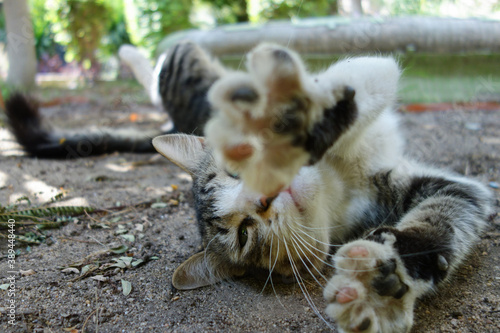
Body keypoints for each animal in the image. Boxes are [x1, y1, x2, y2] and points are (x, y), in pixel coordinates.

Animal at [152, 41, 492, 332]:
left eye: (235, 172)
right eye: (244, 234)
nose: (262, 197)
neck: (336, 182)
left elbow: (365, 74)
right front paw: (377, 294)